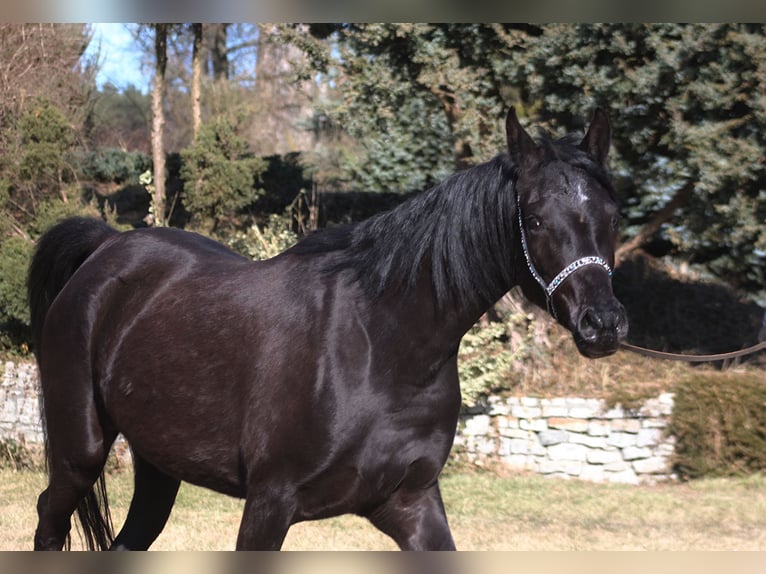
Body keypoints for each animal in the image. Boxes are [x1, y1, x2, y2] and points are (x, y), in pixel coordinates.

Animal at [28, 108, 627, 551]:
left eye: (614, 215)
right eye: (535, 219)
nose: (603, 324)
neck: (383, 346)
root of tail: (107, 248)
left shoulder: (411, 504)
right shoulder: (269, 505)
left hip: (157, 469)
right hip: (80, 453)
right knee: (49, 519)